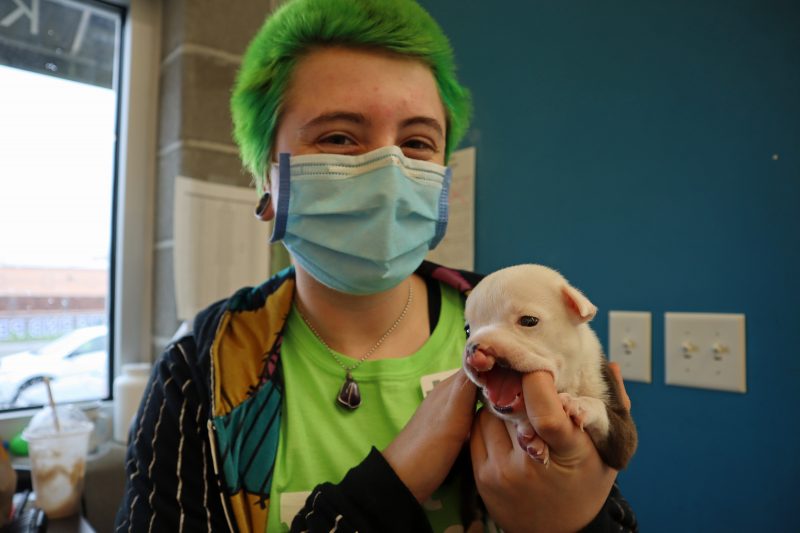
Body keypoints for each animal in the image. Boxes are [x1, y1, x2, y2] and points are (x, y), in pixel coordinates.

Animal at [462, 264, 636, 468]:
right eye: (467, 331)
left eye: (528, 321)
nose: (473, 347)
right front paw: (531, 434)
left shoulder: (624, 439)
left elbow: (604, 413)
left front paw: (579, 404)